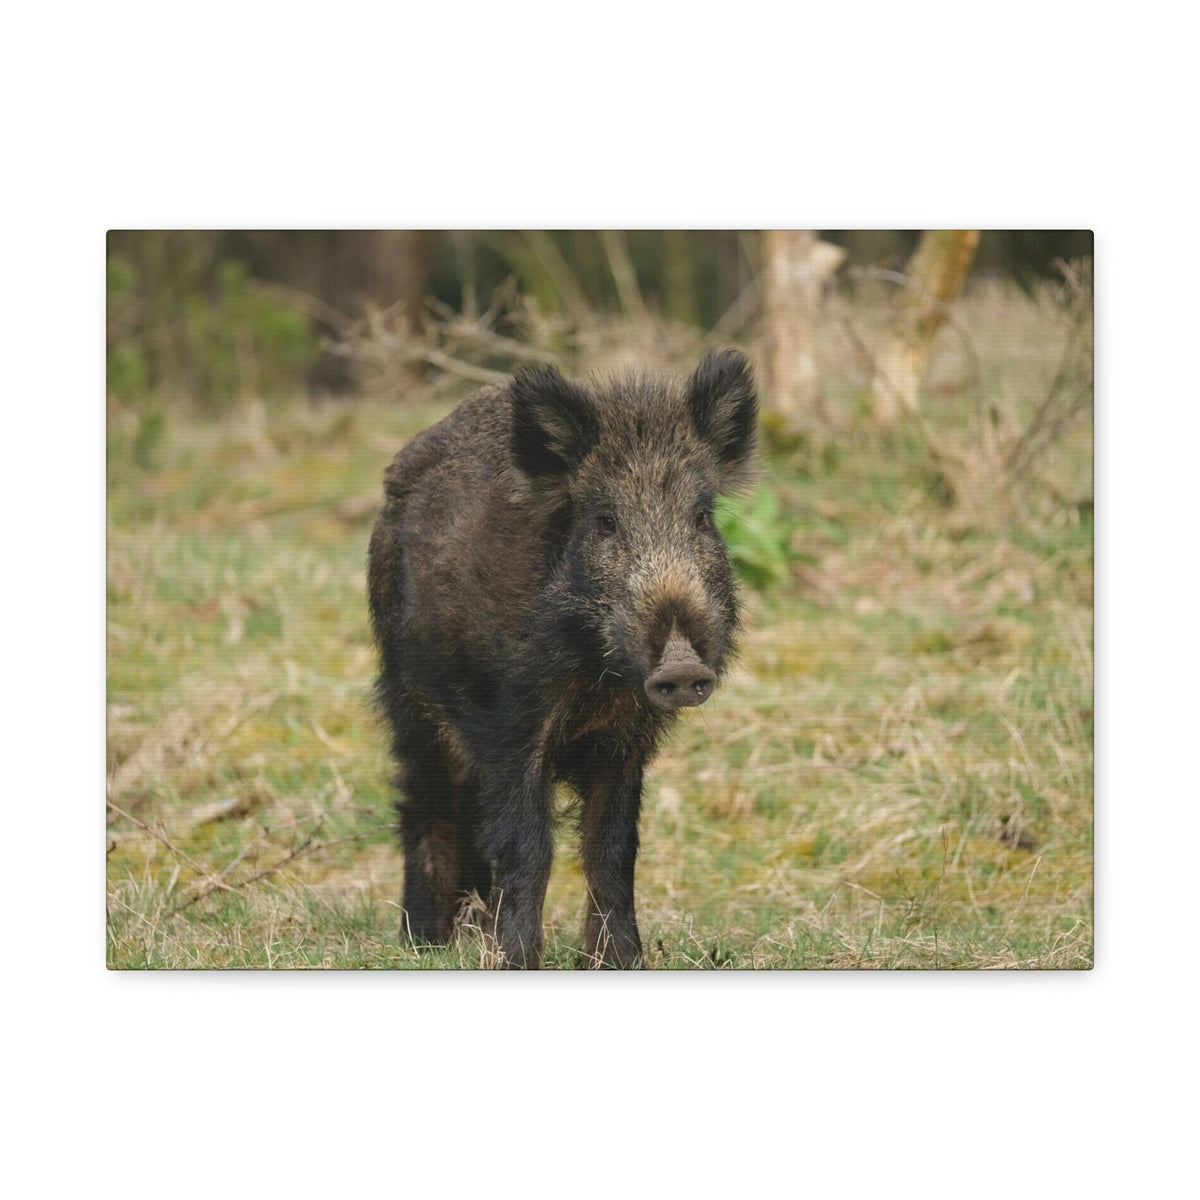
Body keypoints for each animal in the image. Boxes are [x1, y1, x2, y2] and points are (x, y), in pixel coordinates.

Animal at [367, 349, 757, 967]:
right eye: (604, 521)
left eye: (701, 517)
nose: (681, 666)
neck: (595, 676)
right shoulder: (510, 724)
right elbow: (529, 847)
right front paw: (517, 961)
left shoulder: (626, 739)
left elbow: (613, 849)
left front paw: (622, 961)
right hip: (408, 693)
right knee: (425, 798)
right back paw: (425, 940)